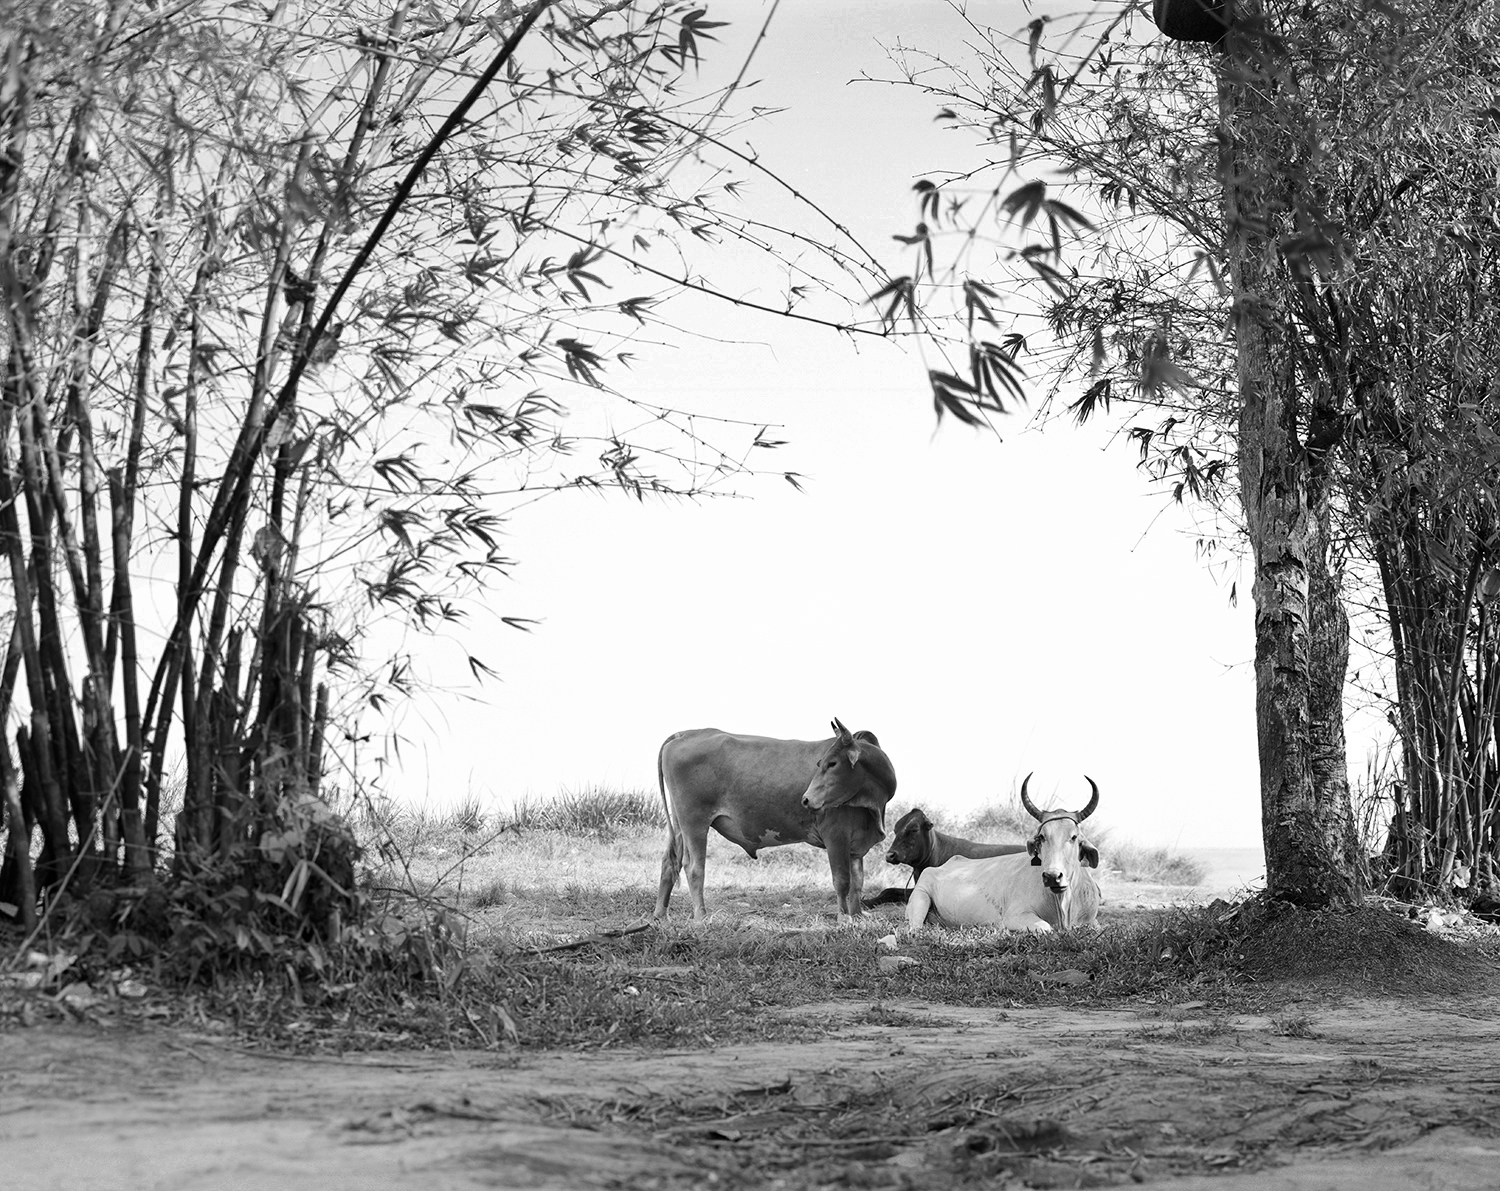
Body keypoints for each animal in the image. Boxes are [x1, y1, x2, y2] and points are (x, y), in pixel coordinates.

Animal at [900, 774, 1104, 930]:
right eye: (1042, 837)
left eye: (1074, 837)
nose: (1053, 876)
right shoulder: (1016, 916)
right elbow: (1046, 928)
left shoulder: (1092, 921)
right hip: (920, 896)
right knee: (915, 927)